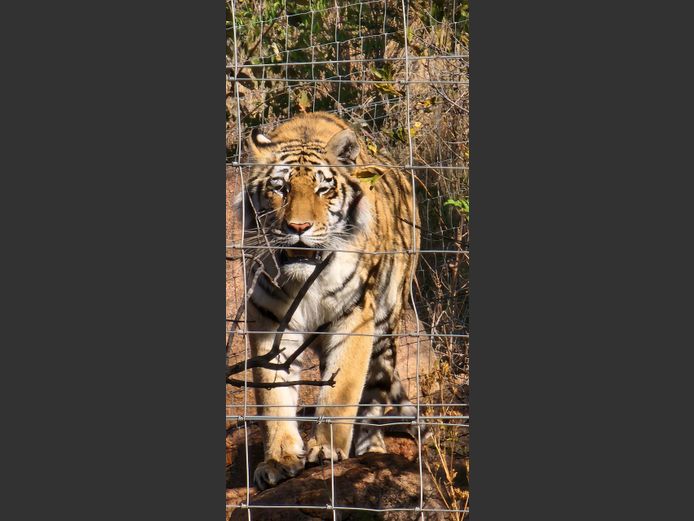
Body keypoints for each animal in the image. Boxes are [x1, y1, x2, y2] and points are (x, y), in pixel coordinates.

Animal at [237, 112, 420, 490]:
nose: (298, 227)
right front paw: (279, 459)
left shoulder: (354, 318)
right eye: (280, 188)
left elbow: (341, 391)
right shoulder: (268, 320)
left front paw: (325, 449)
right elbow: (272, 396)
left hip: (385, 330)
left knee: (374, 393)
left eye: (324, 189)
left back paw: (370, 450)